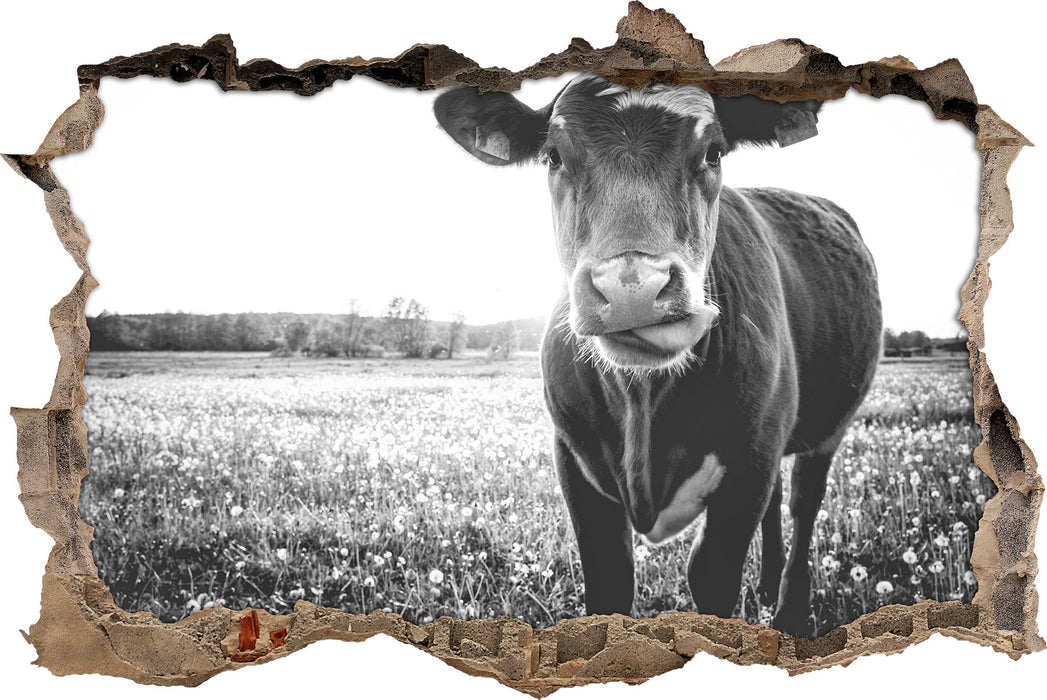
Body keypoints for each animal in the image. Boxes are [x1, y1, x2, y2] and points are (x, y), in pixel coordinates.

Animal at [434, 74, 882, 637]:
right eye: (553, 155)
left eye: (713, 152)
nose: (632, 287)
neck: (642, 400)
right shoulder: (573, 459)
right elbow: (609, 580)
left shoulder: (749, 462)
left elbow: (710, 572)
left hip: (827, 427)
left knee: (804, 502)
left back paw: (791, 613)